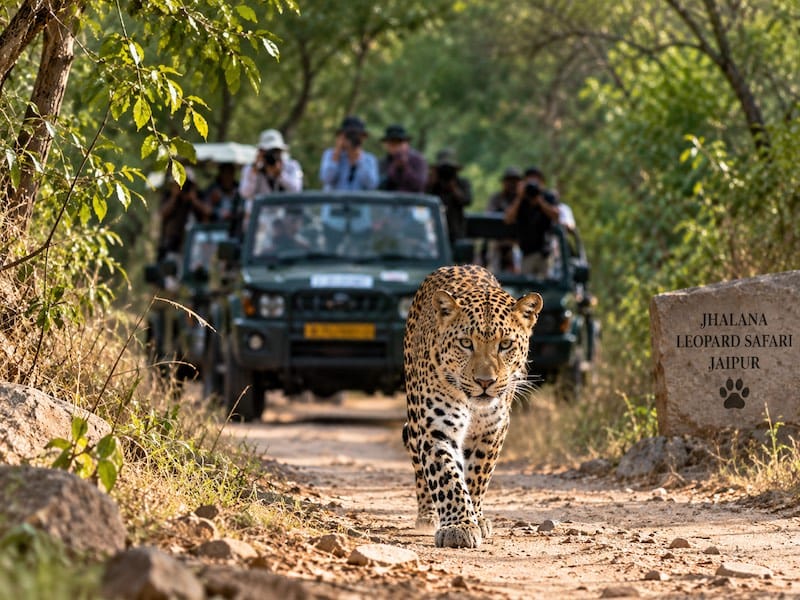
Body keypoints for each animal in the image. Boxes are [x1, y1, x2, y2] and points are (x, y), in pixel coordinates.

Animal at [402, 264, 543, 548]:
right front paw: (459, 526)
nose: (485, 382)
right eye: (466, 343)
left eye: (505, 344)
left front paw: (475, 518)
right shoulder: (436, 429)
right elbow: (446, 477)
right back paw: (427, 515)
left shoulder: (493, 430)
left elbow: (478, 475)